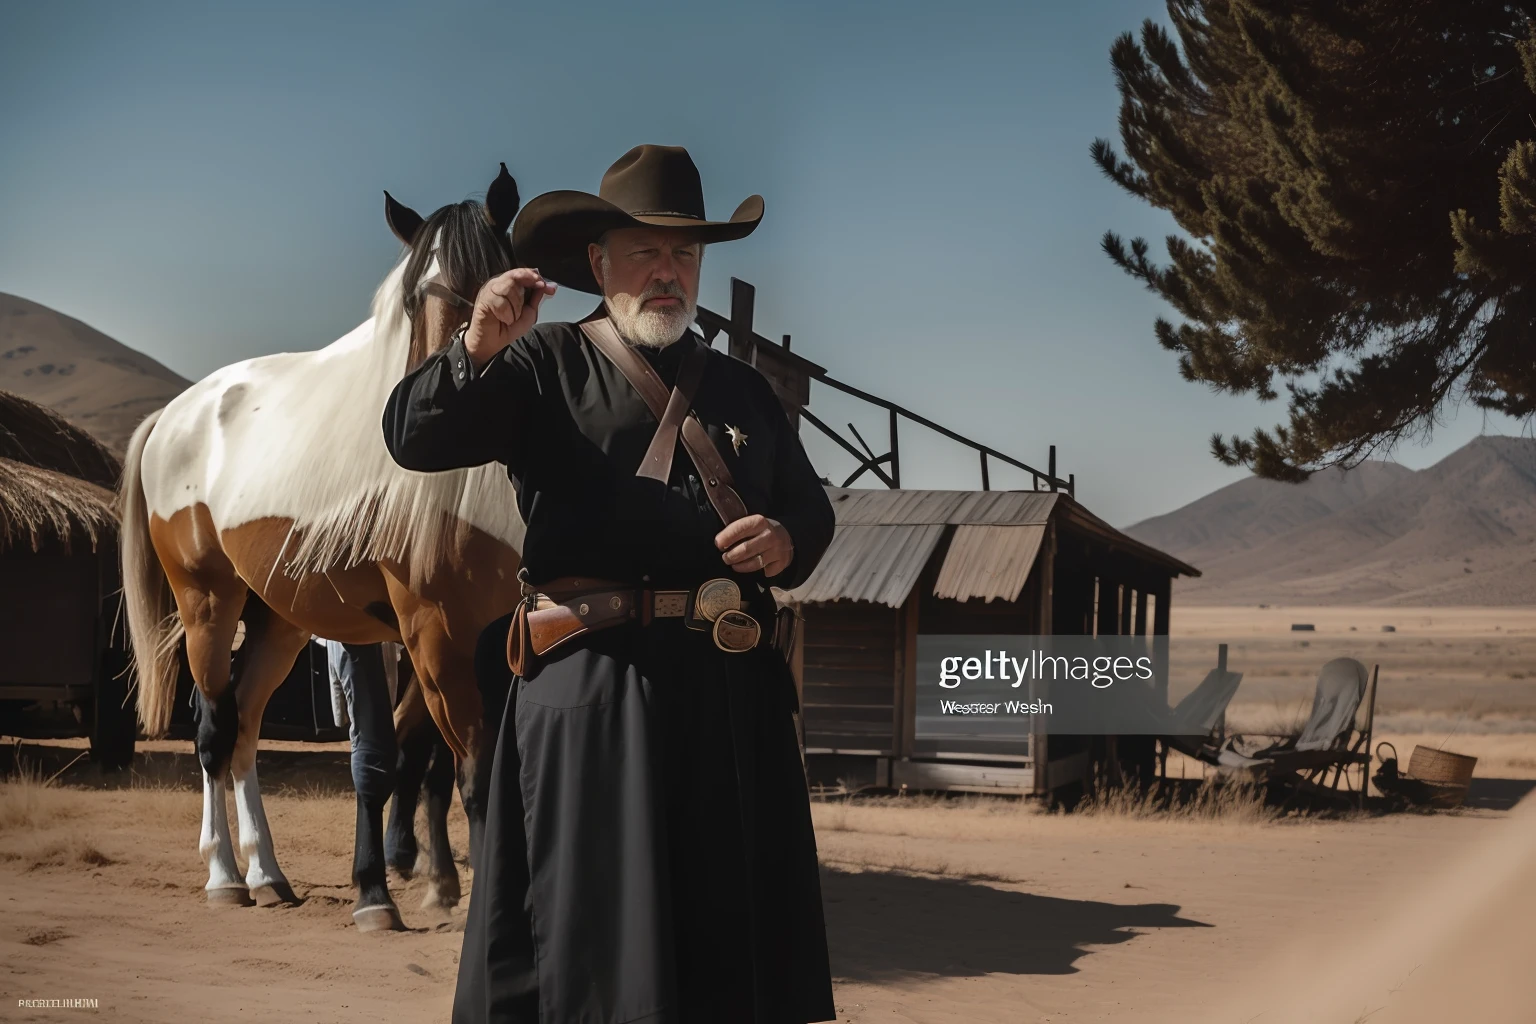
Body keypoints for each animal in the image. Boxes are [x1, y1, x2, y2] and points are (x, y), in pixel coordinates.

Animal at [121, 171, 528, 933]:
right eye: (413, 300)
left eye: (496, 284)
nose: (444, 398)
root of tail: (177, 412)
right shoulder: (435, 633)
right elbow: (459, 770)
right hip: (207, 604)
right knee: (214, 730)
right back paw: (225, 874)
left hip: (278, 621)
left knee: (246, 728)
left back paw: (267, 873)